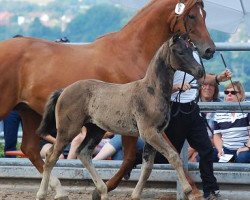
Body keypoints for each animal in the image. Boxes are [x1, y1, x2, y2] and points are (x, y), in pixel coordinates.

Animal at [36, 35, 205, 200]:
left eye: (191, 50)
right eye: (180, 52)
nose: (200, 71)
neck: (151, 91)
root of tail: (63, 90)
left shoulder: (154, 134)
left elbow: (147, 167)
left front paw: (135, 195)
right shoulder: (149, 132)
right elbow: (173, 156)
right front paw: (188, 190)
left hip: (95, 130)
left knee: (83, 153)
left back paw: (103, 191)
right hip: (68, 130)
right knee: (51, 157)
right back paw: (43, 194)